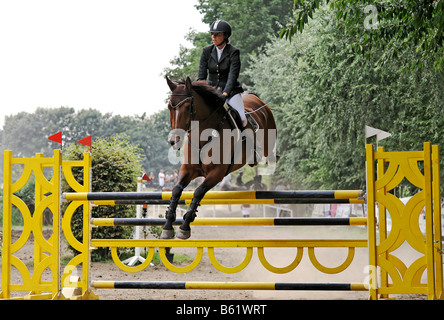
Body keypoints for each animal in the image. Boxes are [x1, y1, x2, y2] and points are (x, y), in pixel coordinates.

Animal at [161, 76, 280, 239]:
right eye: (169, 107)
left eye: (187, 107)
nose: (174, 140)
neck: (203, 137)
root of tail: (256, 99)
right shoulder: (188, 169)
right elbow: (176, 190)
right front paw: (167, 226)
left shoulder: (217, 173)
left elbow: (198, 191)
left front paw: (185, 226)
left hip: (269, 141)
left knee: (271, 156)